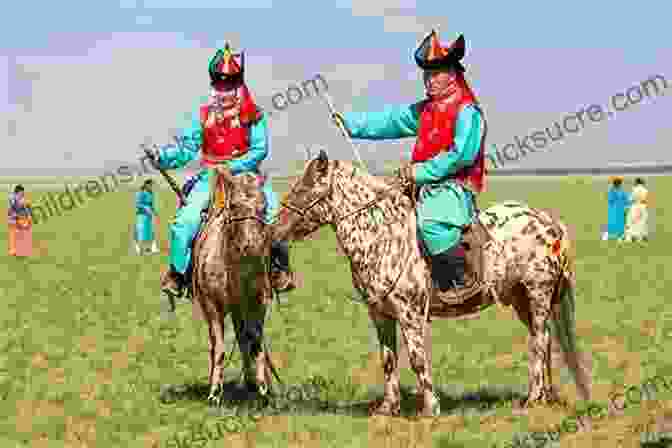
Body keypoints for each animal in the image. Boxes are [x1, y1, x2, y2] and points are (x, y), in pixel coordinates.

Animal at [192, 166, 278, 404]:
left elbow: (256, 343)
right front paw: (214, 393)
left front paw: (263, 390)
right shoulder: (212, 306)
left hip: (241, 308)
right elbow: (219, 348)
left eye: (264, 207)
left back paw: (251, 382)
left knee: (243, 338)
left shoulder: (258, 303)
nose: (252, 246)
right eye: (234, 206)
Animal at [270, 150, 592, 416]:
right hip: (520, 298)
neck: (383, 237)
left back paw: (533, 399)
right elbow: (388, 359)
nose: (274, 231)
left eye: (305, 188)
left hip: (538, 294)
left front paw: (430, 408)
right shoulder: (380, 314)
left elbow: (417, 358)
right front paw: (388, 408)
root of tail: (549, 222)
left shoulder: (409, 313)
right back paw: (545, 396)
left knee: (539, 340)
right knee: (545, 340)